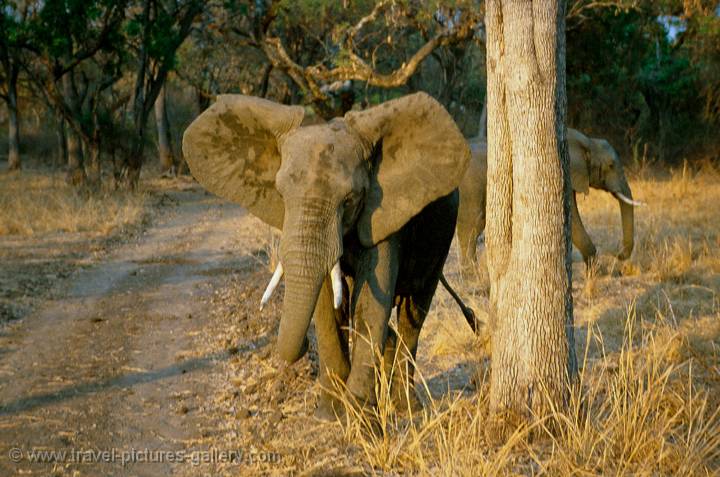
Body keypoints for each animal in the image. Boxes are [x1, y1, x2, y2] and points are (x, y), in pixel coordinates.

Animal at [183, 92, 470, 416]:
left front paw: (360, 416)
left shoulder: (382, 212)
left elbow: (369, 304)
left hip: (441, 236)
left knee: (414, 314)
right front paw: (329, 413)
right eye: (281, 195)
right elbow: (327, 303)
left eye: (350, 200)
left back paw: (406, 408)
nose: (304, 349)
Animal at [456, 126, 640, 270]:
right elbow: (572, 218)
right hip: (470, 185)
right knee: (471, 224)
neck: (587, 141)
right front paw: (594, 267)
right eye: (610, 165)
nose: (616, 253)